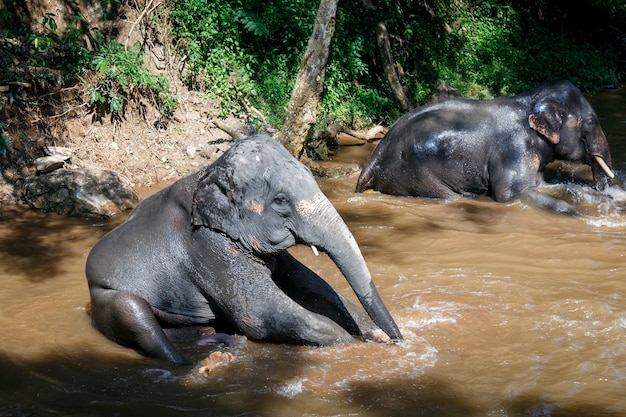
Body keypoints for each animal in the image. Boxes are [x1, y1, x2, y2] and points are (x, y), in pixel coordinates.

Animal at [85, 134, 402, 364]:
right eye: (281, 200)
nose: (398, 341)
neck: (210, 171)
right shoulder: (206, 246)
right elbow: (257, 313)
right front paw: (354, 346)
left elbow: (315, 288)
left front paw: (374, 335)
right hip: (105, 297)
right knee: (135, 313)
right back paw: (186, 366)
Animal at [354, 79, 612, 214]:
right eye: (591, 121)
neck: (531, 99)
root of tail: (374, 158)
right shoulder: (514, 149)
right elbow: (508, 194)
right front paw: (576, 213)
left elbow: (544, 186)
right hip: (411, 174)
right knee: (448, 197)